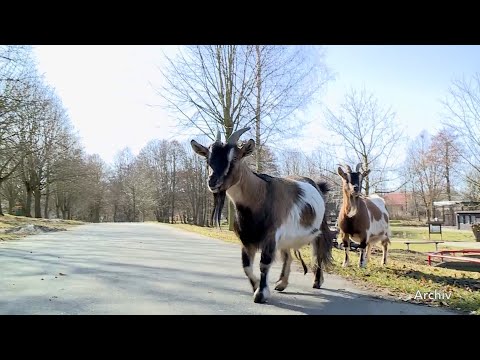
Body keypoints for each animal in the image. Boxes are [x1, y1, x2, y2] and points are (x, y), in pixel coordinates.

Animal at [191, 127, 334, 304]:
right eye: (207, 159)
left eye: (235, 158)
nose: (212, 182)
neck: (260, 196)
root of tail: (318, 185)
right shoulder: (246, 239)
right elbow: (246, 267)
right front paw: (256, 287)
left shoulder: (270, 236)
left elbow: (264, 264)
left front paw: (261, 294)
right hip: (286, 237)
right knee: (288, 256)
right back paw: (282, 283)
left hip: (318, 230)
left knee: (318, 253)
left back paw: (317, 281)